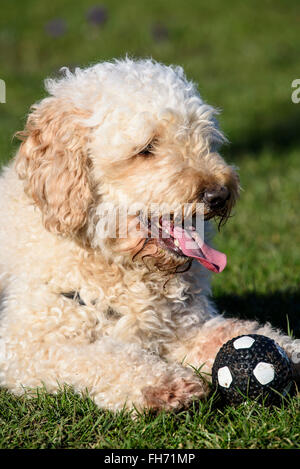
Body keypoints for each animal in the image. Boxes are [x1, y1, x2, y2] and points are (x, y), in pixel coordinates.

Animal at [0, 57, 298, 410]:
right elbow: (98, 357)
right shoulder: (25, 345)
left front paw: (286, 349)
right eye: (146, 148)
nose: (219, 195)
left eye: (203, 137)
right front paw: (160, 383)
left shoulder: (183, 326)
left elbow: (225, 331)